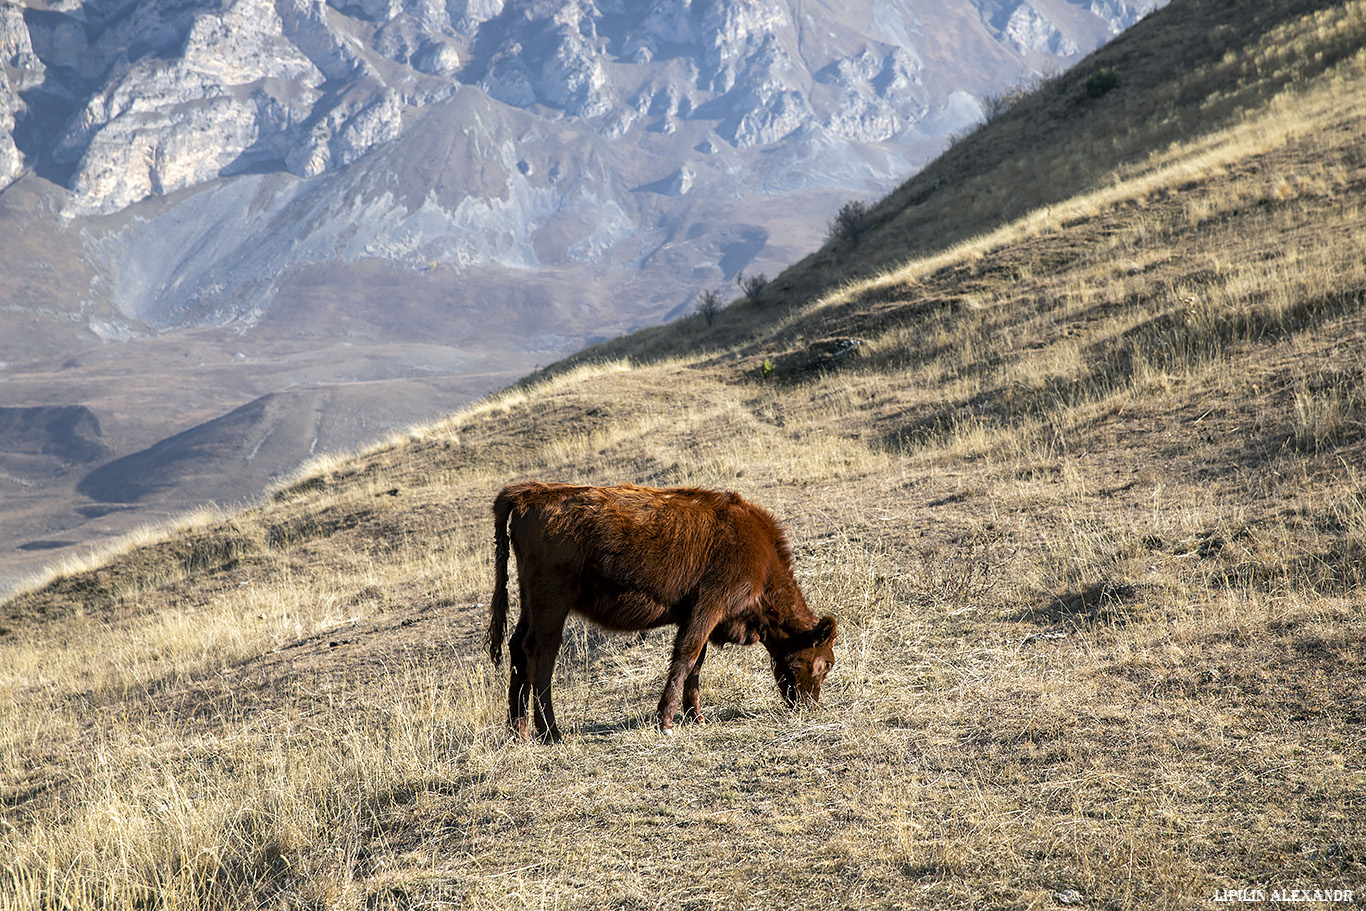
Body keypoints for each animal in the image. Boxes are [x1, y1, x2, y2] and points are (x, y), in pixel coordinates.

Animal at [486, 480, 835, 737]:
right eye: (827, 663)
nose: (811, 706)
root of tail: (533, 492)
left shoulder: (696, 615)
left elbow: (696, 664)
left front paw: (696, 716)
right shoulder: (708, 606)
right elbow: (685, 656)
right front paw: (666, 720)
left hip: (531, 603)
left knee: (518, 649)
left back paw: (519, 732)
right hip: (552, 603)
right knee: (541, 653)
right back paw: (551, 732)